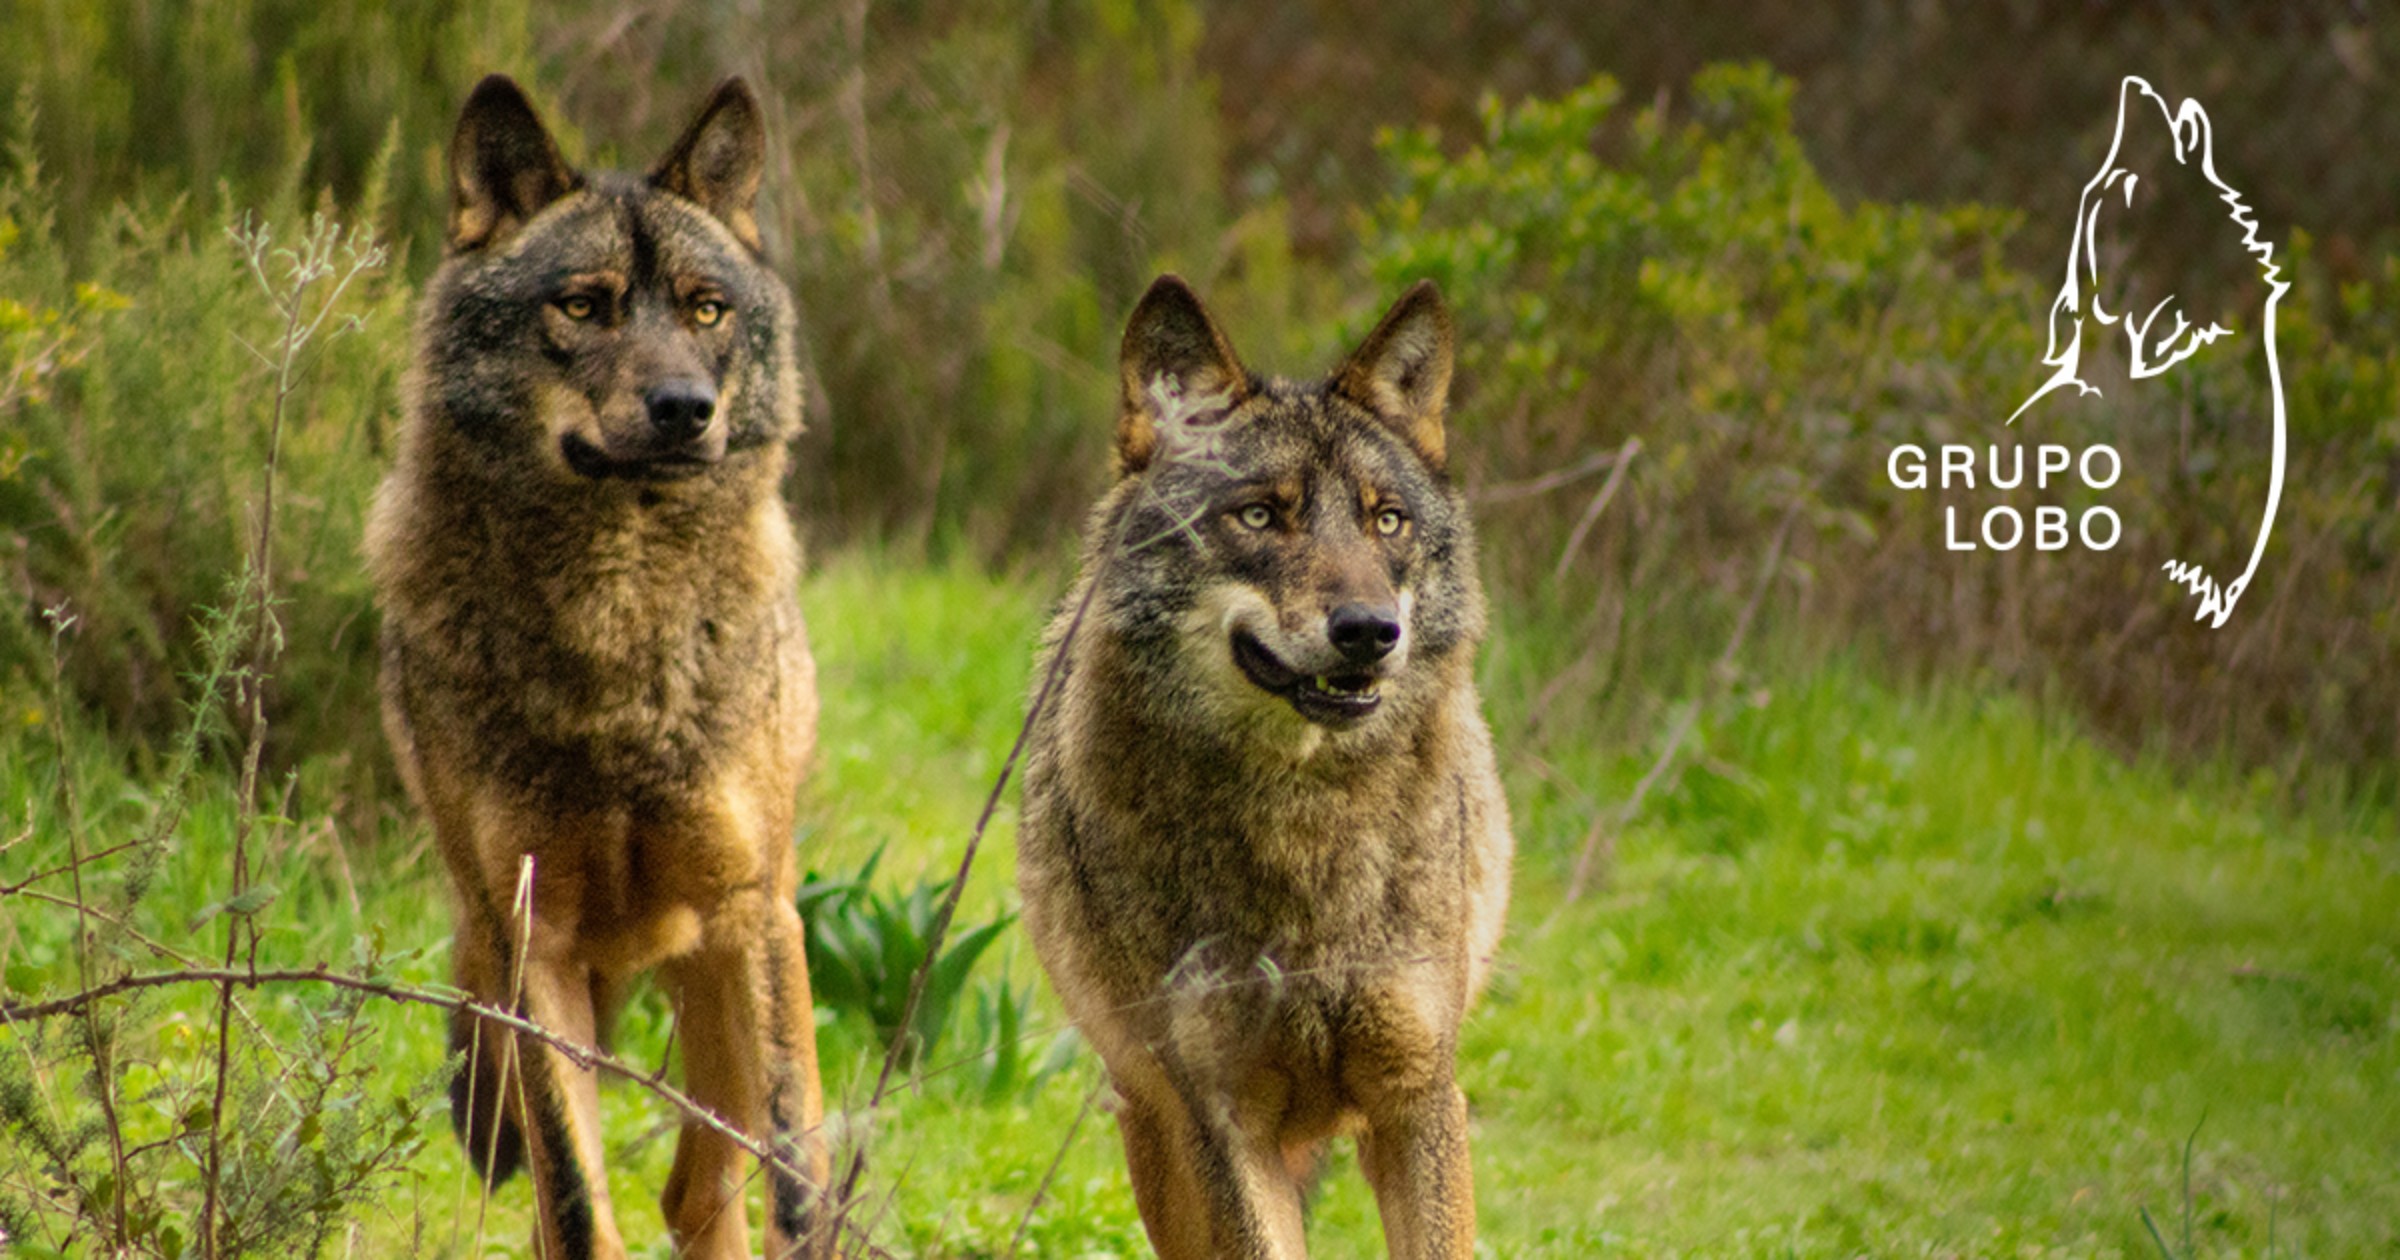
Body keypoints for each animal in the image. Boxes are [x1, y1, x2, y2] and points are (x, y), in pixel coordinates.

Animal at [365, 75, 825, 1260]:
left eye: (707, 310)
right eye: (583, 306)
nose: (684, 411)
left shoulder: (755, 916)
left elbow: (794, 1180)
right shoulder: (537, 947)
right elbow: (574, 1203)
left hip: (721, 965)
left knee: (703, 1187)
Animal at [1016, 275, 1514, 1258]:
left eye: (1386, 520)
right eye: (1258, 515)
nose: (1369, 630)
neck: (1308, 827)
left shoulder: (1417, 1097)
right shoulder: (1221, 1122)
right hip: (1155, 1133)